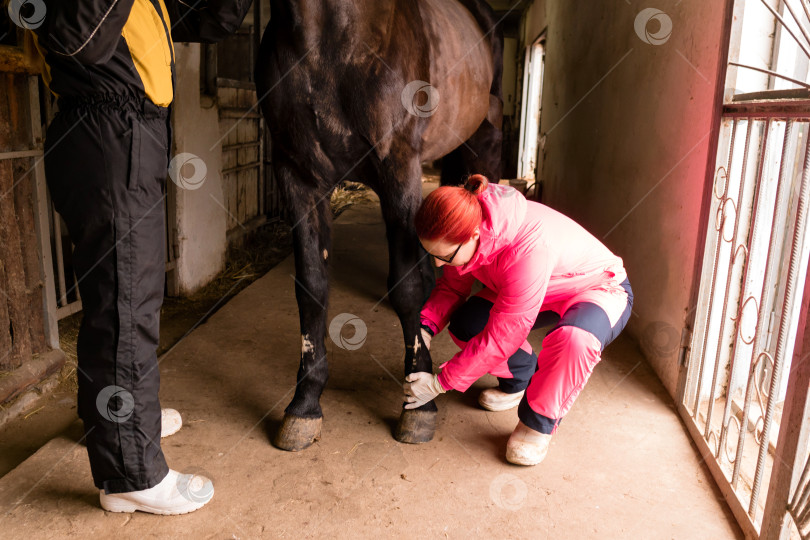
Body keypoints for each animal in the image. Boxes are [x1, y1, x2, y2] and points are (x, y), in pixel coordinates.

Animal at [256, 0, 502, 450]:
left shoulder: (398, 167)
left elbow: (406, 288)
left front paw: (420, 404)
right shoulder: (297, 176)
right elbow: (312, 286)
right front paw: (305, 404)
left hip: (480, 143)